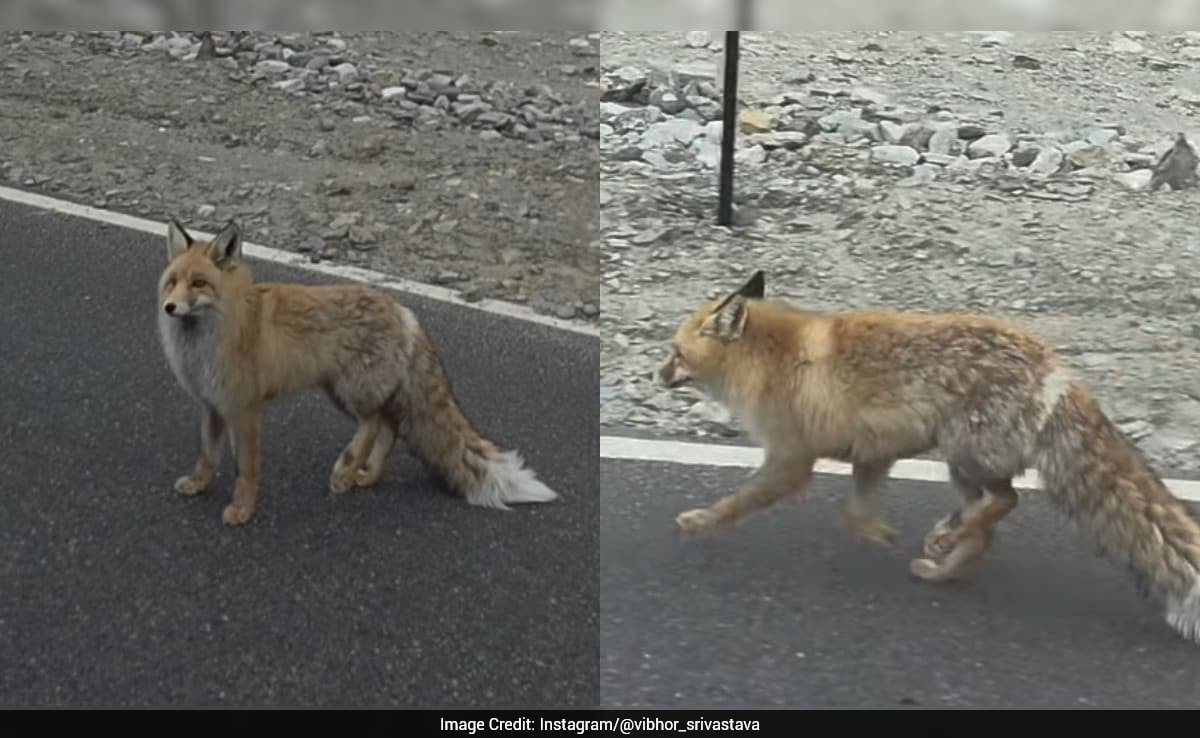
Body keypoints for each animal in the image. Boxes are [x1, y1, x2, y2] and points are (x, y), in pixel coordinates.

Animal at [156, 219, 557, 526]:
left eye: (199, 283)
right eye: (172, 282)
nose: (169, 307)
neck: (209, 341)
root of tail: (405, 313)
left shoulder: (246, 409)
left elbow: (246, 470)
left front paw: (242, 511)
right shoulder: (212, 405)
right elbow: (208, 456)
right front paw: (198, 485)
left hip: (348, 390)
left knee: (373, 424)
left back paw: (345, 469)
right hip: (346, 392)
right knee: (389, 428)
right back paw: (365, 475)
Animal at [657, 269, 1200, 645]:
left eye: (675, 353)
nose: (656, 375)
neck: (770, 359)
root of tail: (1056, 368)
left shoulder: (791, 459)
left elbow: (736, 504)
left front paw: (699, 523)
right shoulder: (872, 453)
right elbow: (857, 513)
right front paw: (880, 536)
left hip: (961, 450)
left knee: (1005, 503)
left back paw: (948, 539)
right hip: (959, 465)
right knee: (986, 527)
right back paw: (943, 561)